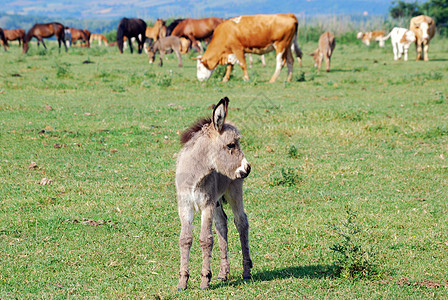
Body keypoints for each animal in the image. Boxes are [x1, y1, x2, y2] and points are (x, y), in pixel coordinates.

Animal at [175, 97, 252, 290]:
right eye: (231, 145)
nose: (248, 168)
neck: (195, 174)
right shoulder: (185, 205)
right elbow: (185, 239)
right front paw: (182, 281)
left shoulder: (206, 205)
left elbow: (206, 239)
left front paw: (204, 280)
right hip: (216, 201)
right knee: (221, 224)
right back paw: (223, 273)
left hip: (234, 191)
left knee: (241, 222)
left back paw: (246, 271)